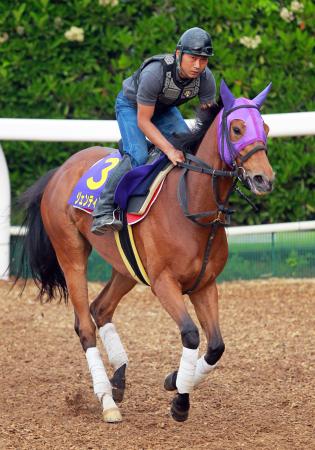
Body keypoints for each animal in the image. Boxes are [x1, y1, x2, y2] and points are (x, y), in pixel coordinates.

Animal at [16, 80, 276, 422]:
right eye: (236, 128)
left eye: (267, 129)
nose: (264, 179)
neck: (191, 206)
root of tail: (59, 170)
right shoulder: (164, 283)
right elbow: (191, 334)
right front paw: (180, 402)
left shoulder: (204, 284)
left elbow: (216, 346)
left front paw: (175, 380)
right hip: (70, 253)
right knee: (85, 325)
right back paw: (107, 401)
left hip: (125, 266)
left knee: (101, 308)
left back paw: (118, 380)